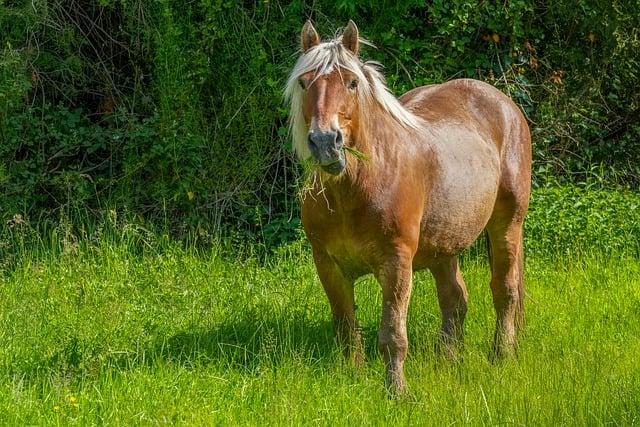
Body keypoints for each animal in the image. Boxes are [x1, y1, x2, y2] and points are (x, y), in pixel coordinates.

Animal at [284, 20, 528, 394]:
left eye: (352, 82)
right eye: (304, 82)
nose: (326, 142)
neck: (357, 189)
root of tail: (503, 103)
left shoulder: (396, 262)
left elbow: (392, 334)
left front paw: (397, 392)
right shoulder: (327, 264)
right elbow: (345, 327)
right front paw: (353, 378)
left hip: (507, 225)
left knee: (505, 291)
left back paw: (502, 355)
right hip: (444, 244)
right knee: (455, 299)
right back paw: (447, 361)